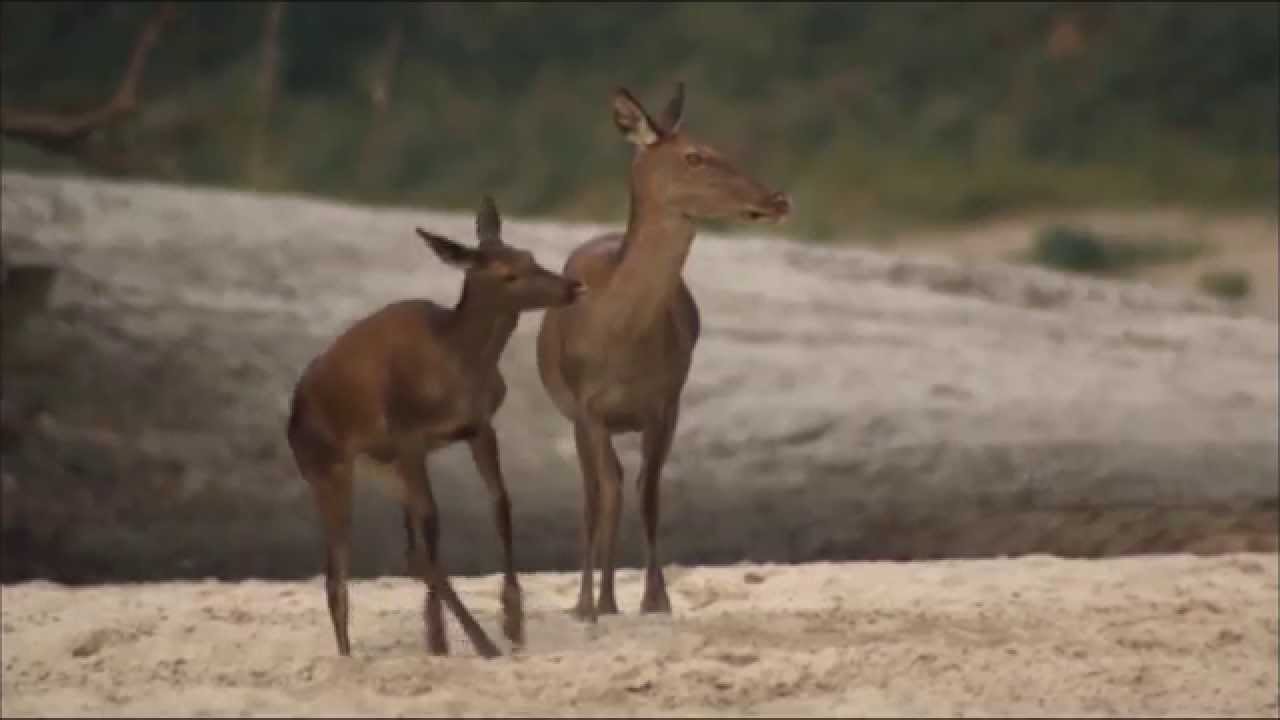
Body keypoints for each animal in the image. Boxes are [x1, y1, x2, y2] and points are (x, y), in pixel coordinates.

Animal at [287, 195, 586, 658]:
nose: (572, 287)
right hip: (327, 467)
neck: (459, 366)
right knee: (341, 571)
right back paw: (360, 655)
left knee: (405, 550)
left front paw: (513, 621)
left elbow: (500, 503)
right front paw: (491, 637)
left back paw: (437, 639)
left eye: (530, 256)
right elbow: (432, 530)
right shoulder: (409, 434)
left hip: (382, 467)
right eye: (509, 274)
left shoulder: (479, 426)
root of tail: (291, 416)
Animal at [535, 83, 791, 623]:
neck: (620, 338)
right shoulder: (587, 407)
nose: (777, 198)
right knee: (594, 493)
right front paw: (591, 604)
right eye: (694, 155)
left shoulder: (666, 401)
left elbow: (648, 491)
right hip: (573, 417)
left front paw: (656, 600)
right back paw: (593, 600)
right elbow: (604, 495)